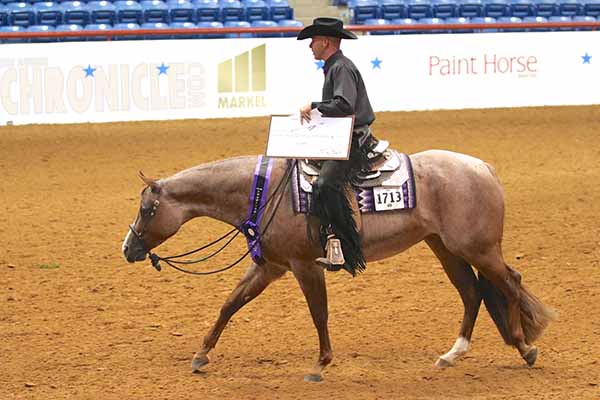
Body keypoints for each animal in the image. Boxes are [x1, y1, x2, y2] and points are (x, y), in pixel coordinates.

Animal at [122, 150, 556, 382]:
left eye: (147, 210)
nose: (128, 248)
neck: (264, 192)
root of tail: (483, 168)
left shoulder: (304, 265)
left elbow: (319, 313)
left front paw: (319, 365)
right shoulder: (271, 267)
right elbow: (230, 304)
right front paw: (201, 355)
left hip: (478, 248)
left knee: (510, 282)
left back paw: (525, 347)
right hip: (446, 248)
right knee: (472, 292)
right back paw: (453, 354)